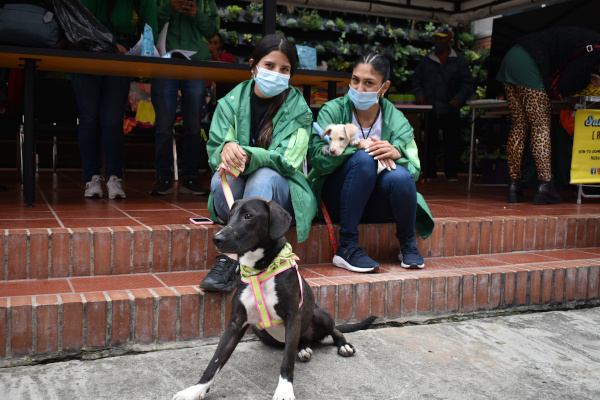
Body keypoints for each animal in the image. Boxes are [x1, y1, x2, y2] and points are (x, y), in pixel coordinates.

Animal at [171, 198, 376, 400]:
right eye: (229, 216)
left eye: (248, 216)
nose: (217, 239)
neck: (260, 270)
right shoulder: (236, 322)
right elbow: (215, 360)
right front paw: (196, 389)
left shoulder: (293, 317)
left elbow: (287, 361)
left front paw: (284, 391)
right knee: (302, 342)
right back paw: (304, 349)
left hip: (319, 314)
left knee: (335, 331)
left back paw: (344, 346)